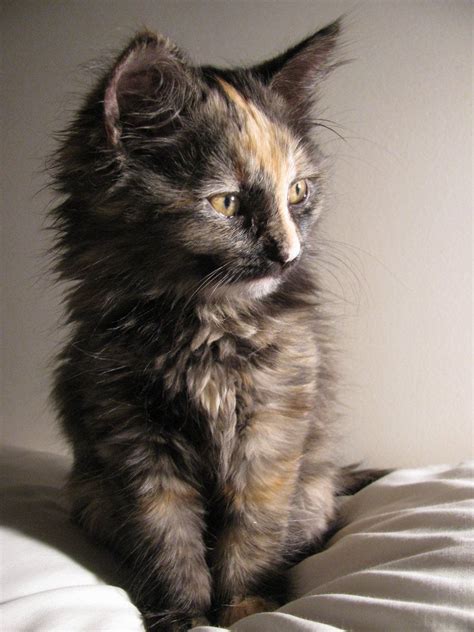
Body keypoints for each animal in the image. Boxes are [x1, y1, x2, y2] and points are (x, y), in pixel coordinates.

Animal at [50, 21, 380, 632]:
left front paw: (247, 606)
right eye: (226, 204)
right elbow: (167, 539)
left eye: (297, 192)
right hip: (90, 497)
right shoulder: (134, 434)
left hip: (312, 491)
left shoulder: (273, 425)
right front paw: (182, 614)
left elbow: (253, 531)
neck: (207, 326)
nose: (288, 255)